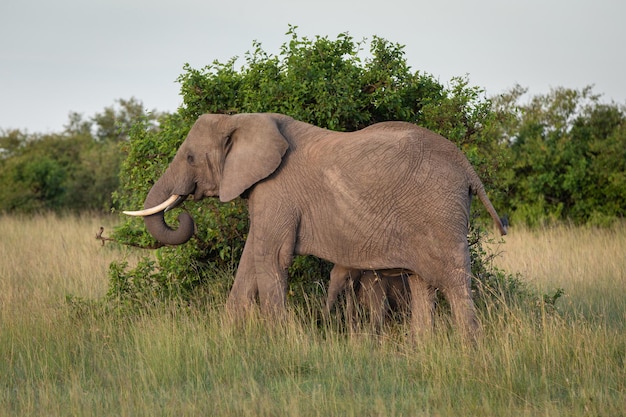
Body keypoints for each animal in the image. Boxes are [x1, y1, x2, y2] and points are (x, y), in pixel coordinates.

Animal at [124, 113, 504, 338]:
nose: (183, 214)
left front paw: (280, 340)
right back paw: (421, 348)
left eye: (190, 157)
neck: (238, 119)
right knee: (422, 283)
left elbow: (271, 258)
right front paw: (228, 335)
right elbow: (250, 259)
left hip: (440, 210)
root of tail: (467, 167)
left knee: (454, 282)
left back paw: (469, 351)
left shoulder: (276, 192)